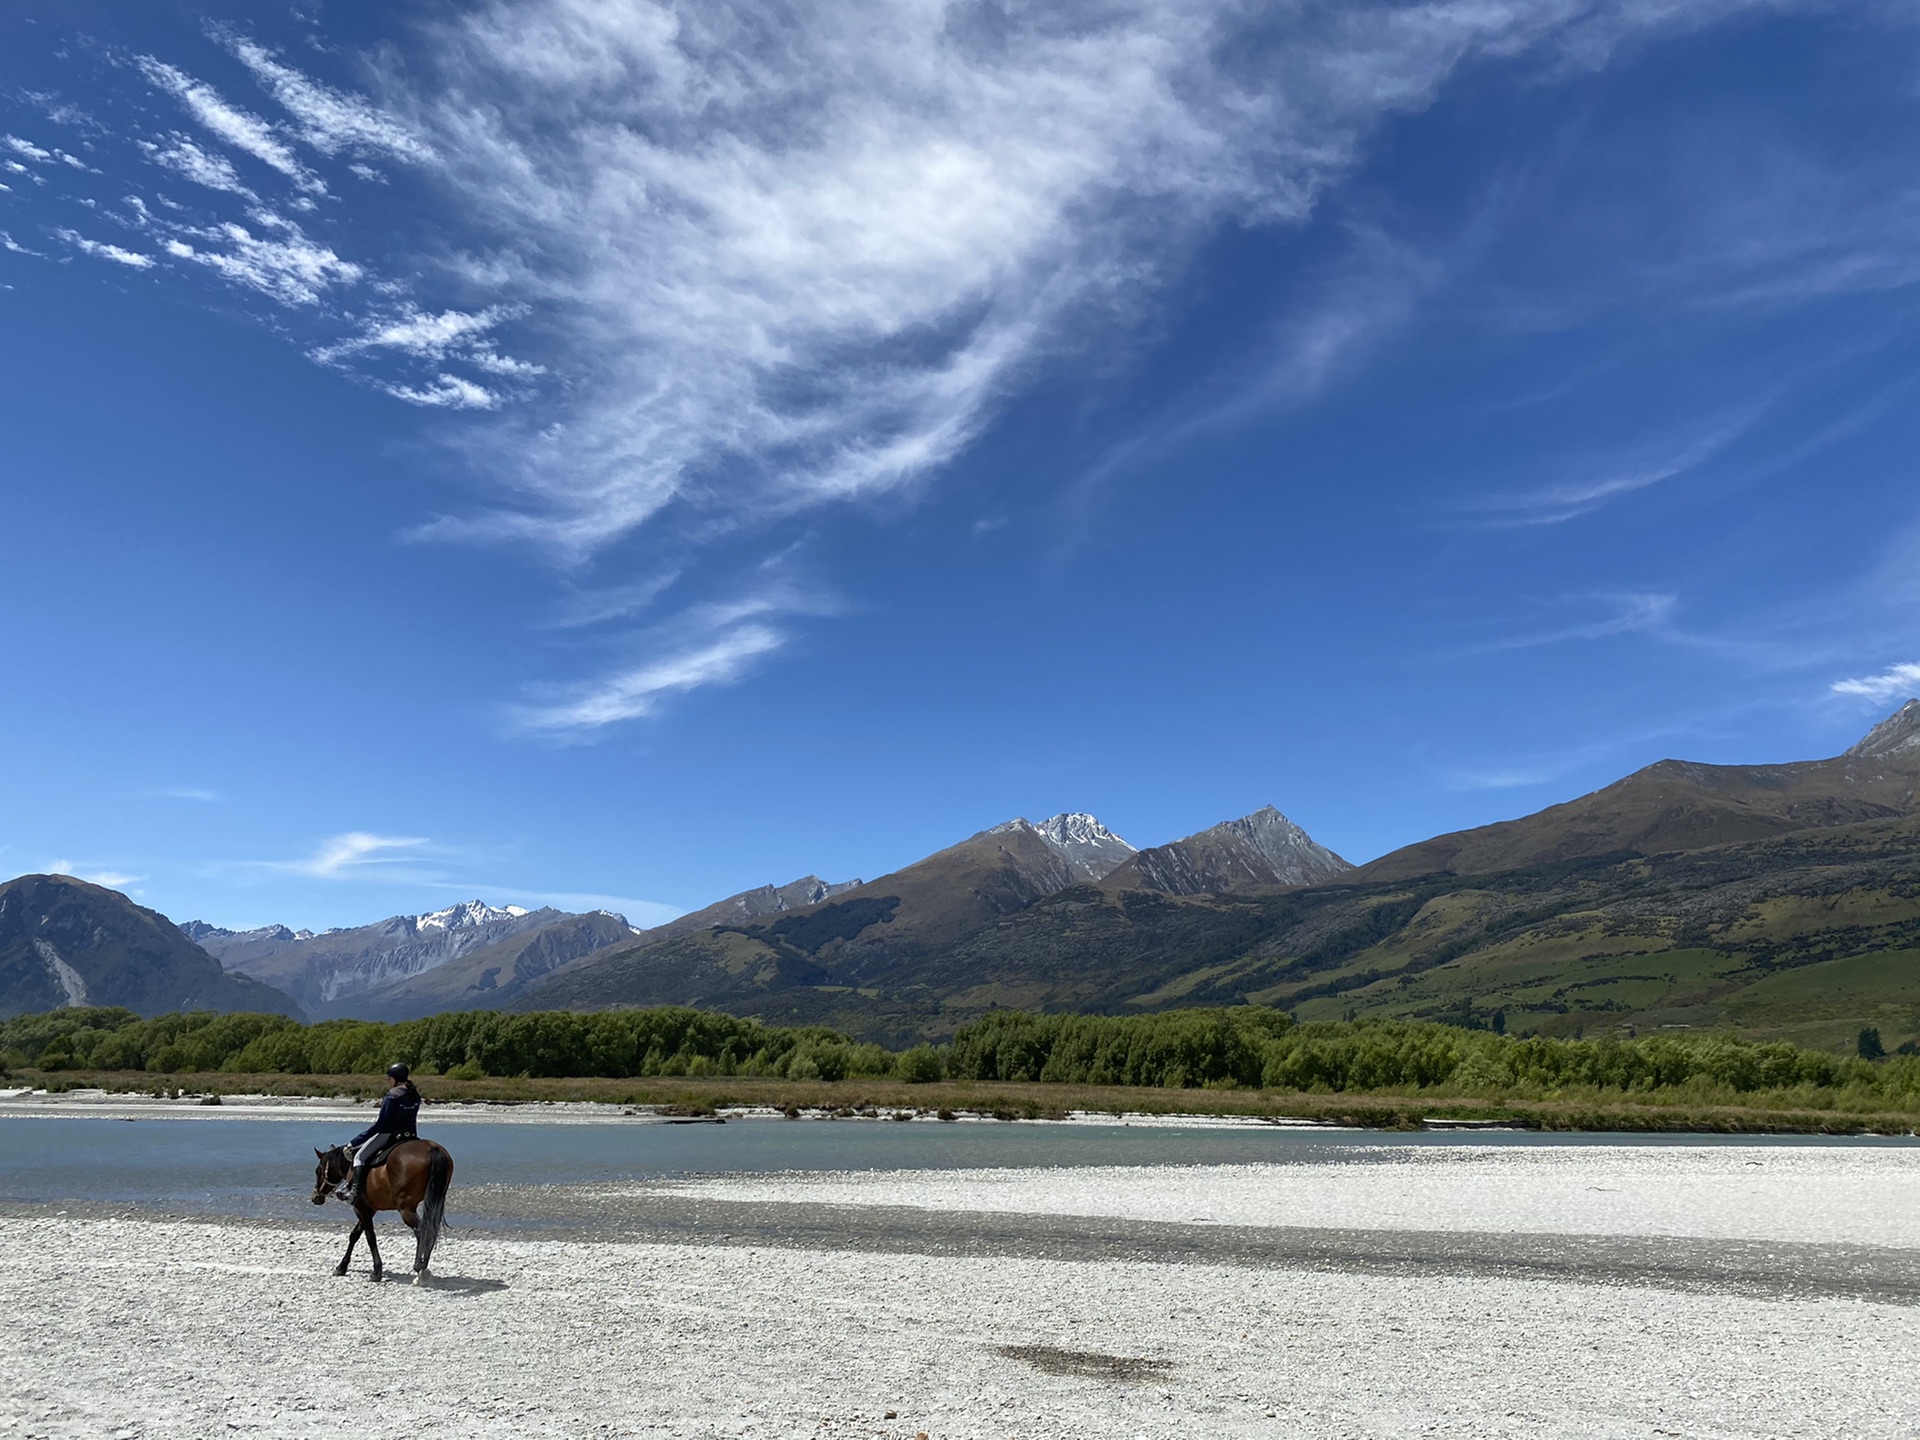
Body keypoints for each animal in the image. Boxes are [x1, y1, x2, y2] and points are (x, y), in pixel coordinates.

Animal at [309, 1136, 455, 1282]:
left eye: (317, 1170)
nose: (315, 1197)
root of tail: (433, 1149)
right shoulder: (368, 1209)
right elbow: (355, 1235)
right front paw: (342, 1266)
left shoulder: (360, 1208)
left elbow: (370, 1237)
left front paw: (376, 1271)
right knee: (431, 1230)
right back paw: (424, 1267)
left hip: (406, 1209)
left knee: (422, 1230)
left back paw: (420, 1266)